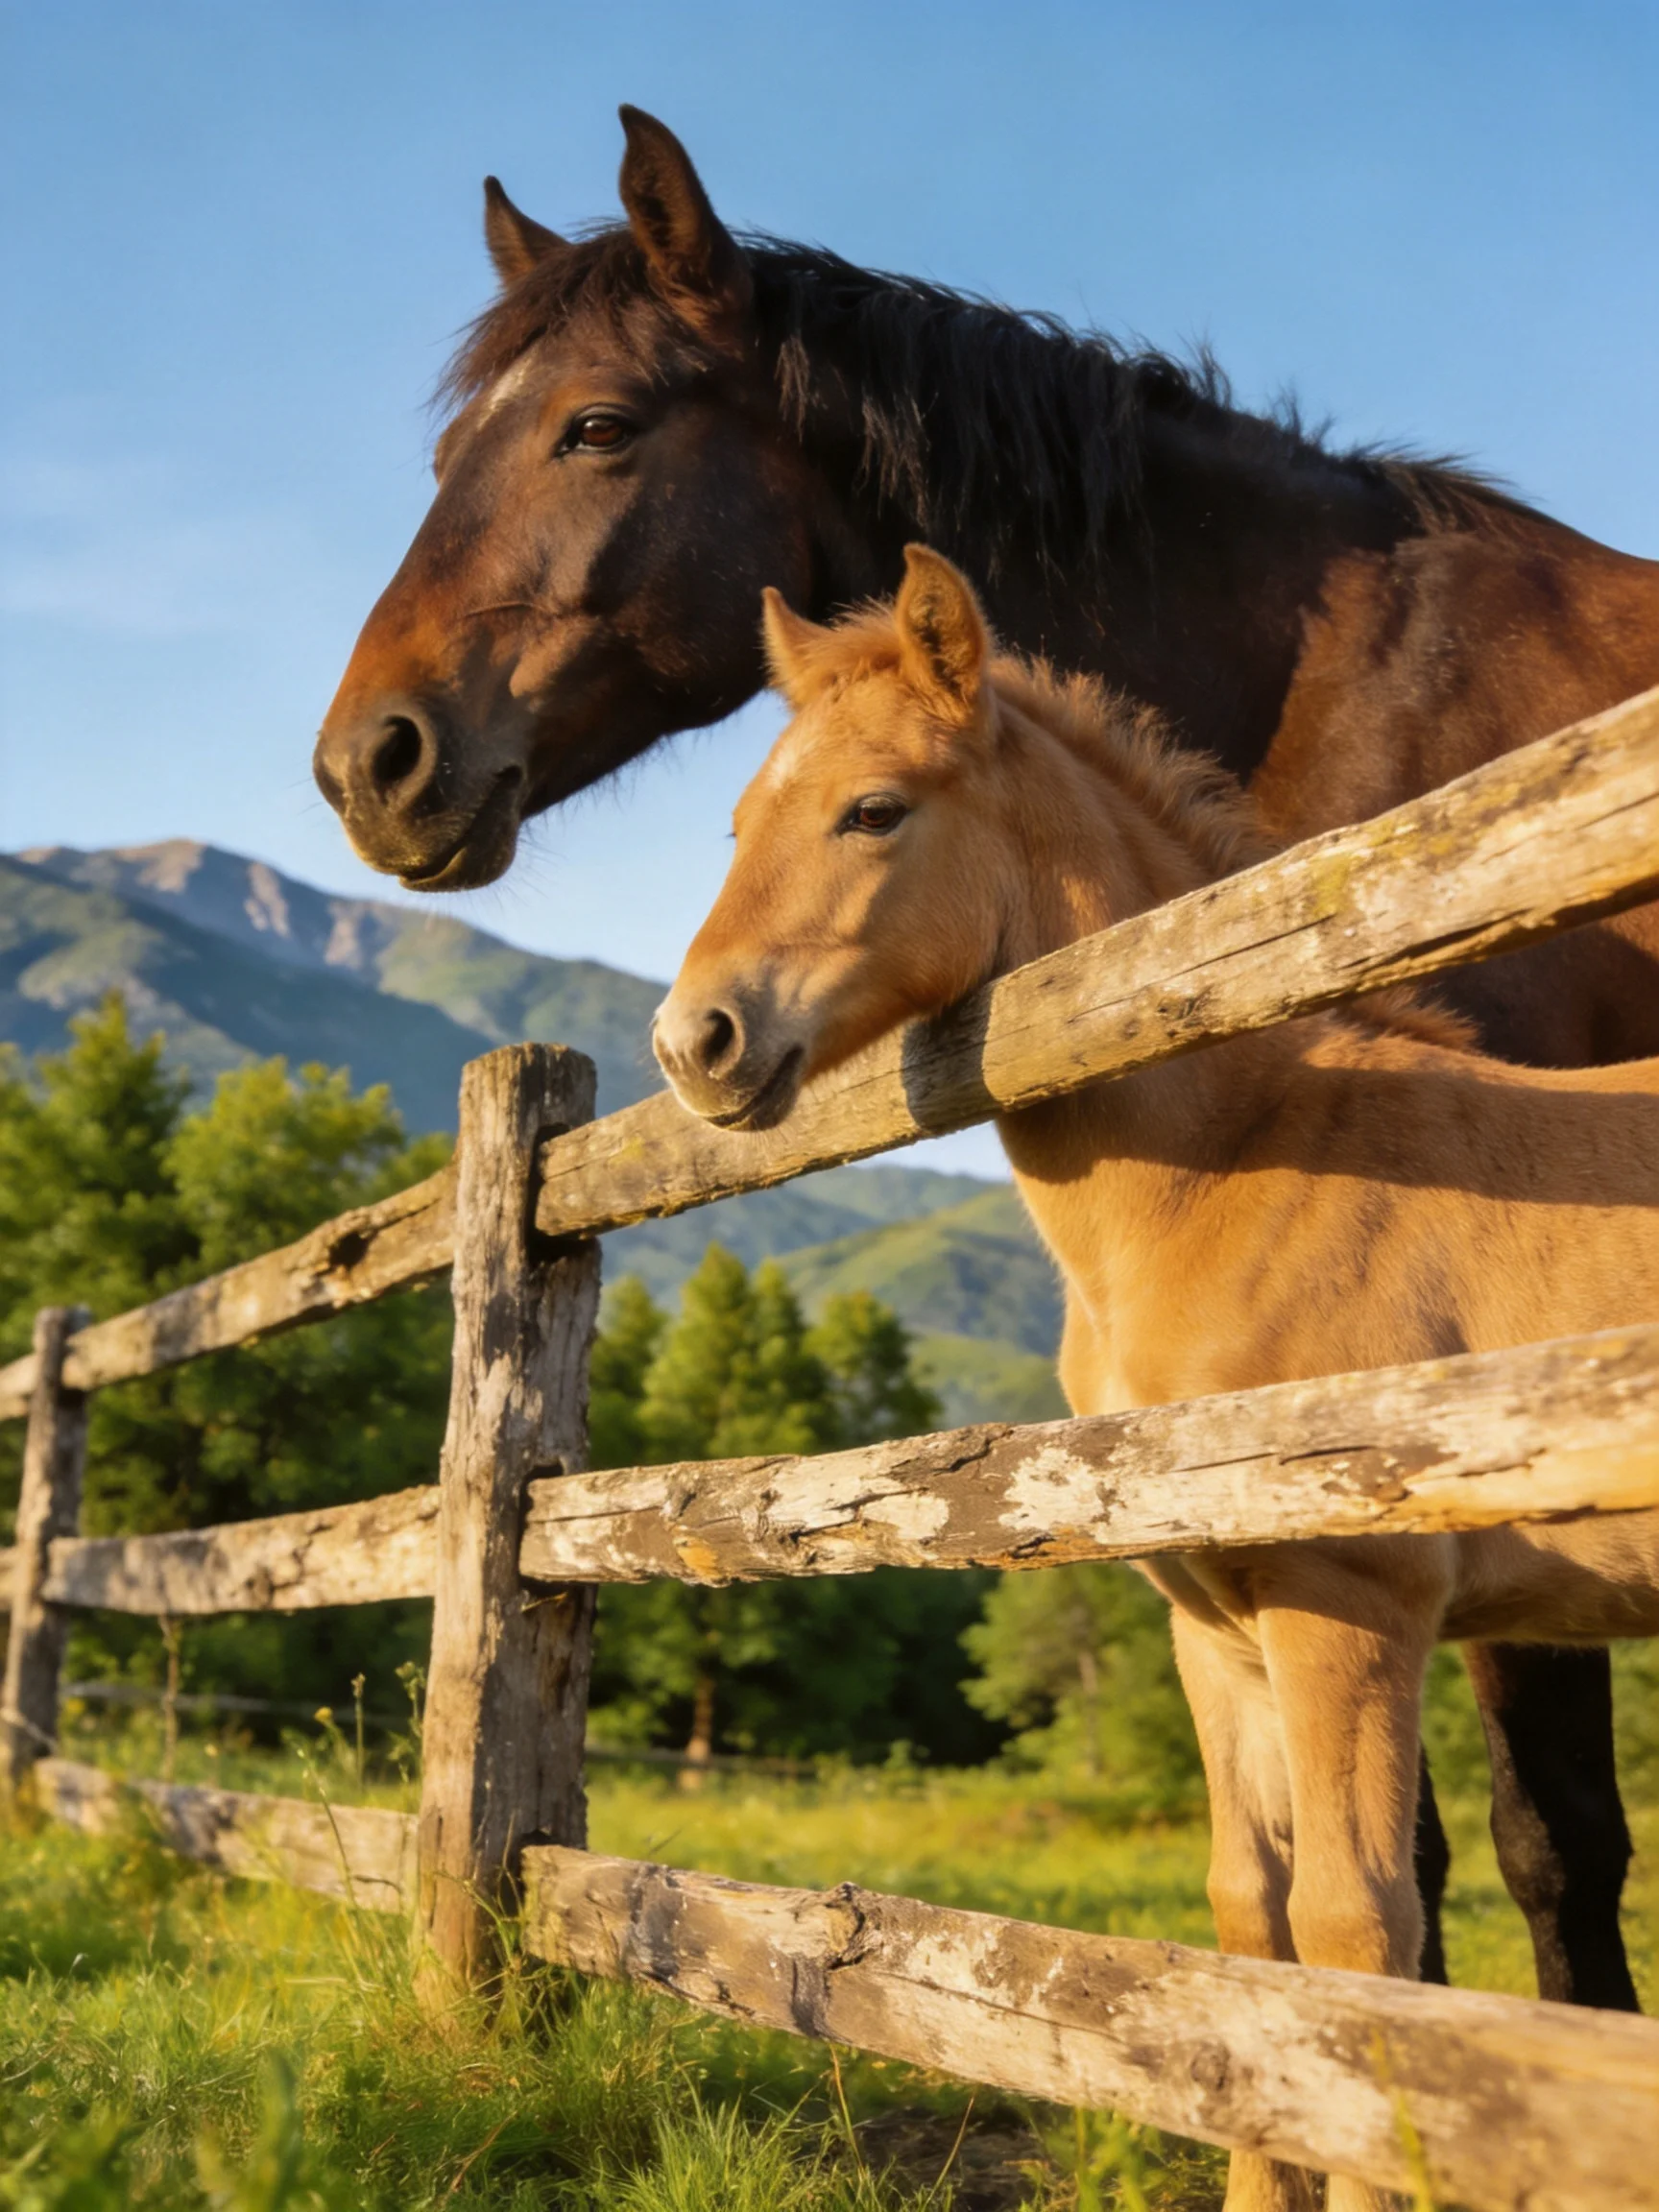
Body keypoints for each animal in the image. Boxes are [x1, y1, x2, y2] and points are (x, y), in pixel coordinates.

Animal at [652, 549, 1659, 2212]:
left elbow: (1359, 1935)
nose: (696, 1045)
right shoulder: (1215, 1629)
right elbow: (1251, 1918)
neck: (1242, 1168)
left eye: (875, 809)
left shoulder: (1348, 1606)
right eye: (733, 824)